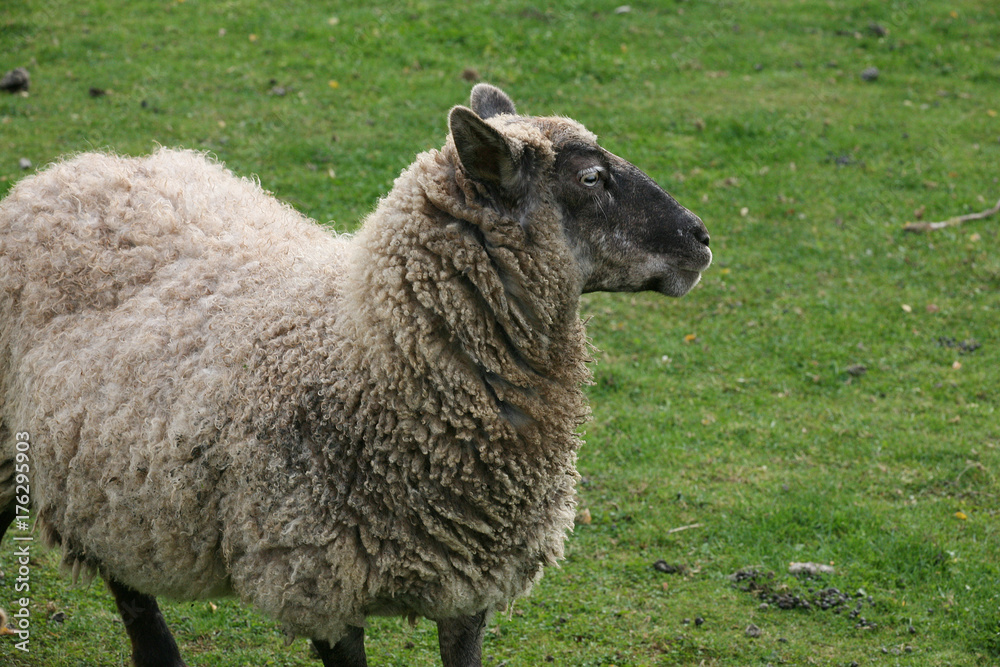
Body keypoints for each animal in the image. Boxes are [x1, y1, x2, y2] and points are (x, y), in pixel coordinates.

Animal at [0, 84, 711, 667]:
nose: (701, 239)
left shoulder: (470, 586)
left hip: (102, 477)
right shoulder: (320, 584)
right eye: (592, 178)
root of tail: (73, 170)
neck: (365, 360)